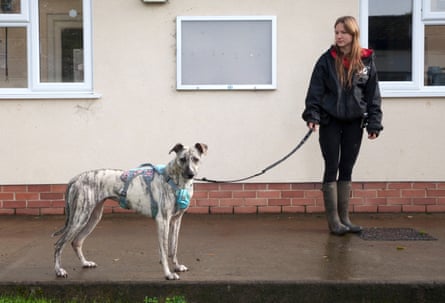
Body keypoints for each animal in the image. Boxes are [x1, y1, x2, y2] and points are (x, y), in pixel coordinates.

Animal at [51, 144, 206, 282]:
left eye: (196, 159)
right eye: (182, 159)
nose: (191, 174)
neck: (174, 179)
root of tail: (75, 179)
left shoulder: (176, 221)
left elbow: (173, 247)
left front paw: (177, 267)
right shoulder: (163, 221)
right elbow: (164, 251)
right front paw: (168, 274)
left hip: (93, 217)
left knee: (76, 242)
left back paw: (85, 263)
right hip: (79, 218)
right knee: (59, 244)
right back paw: (59, 270)